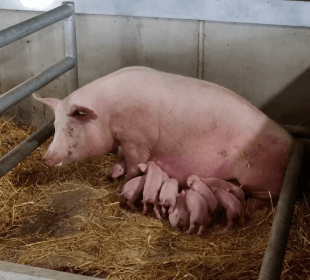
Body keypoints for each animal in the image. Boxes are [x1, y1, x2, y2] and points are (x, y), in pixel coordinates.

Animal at [34, 66, 294, 205]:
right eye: (55, 125)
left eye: (71, 128)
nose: (46, 158)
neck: (108, 114)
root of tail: (292, 142)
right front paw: (111, 173)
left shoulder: (137, 140)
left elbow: (133, 166)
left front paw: (122, 186)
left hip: (261, 179)